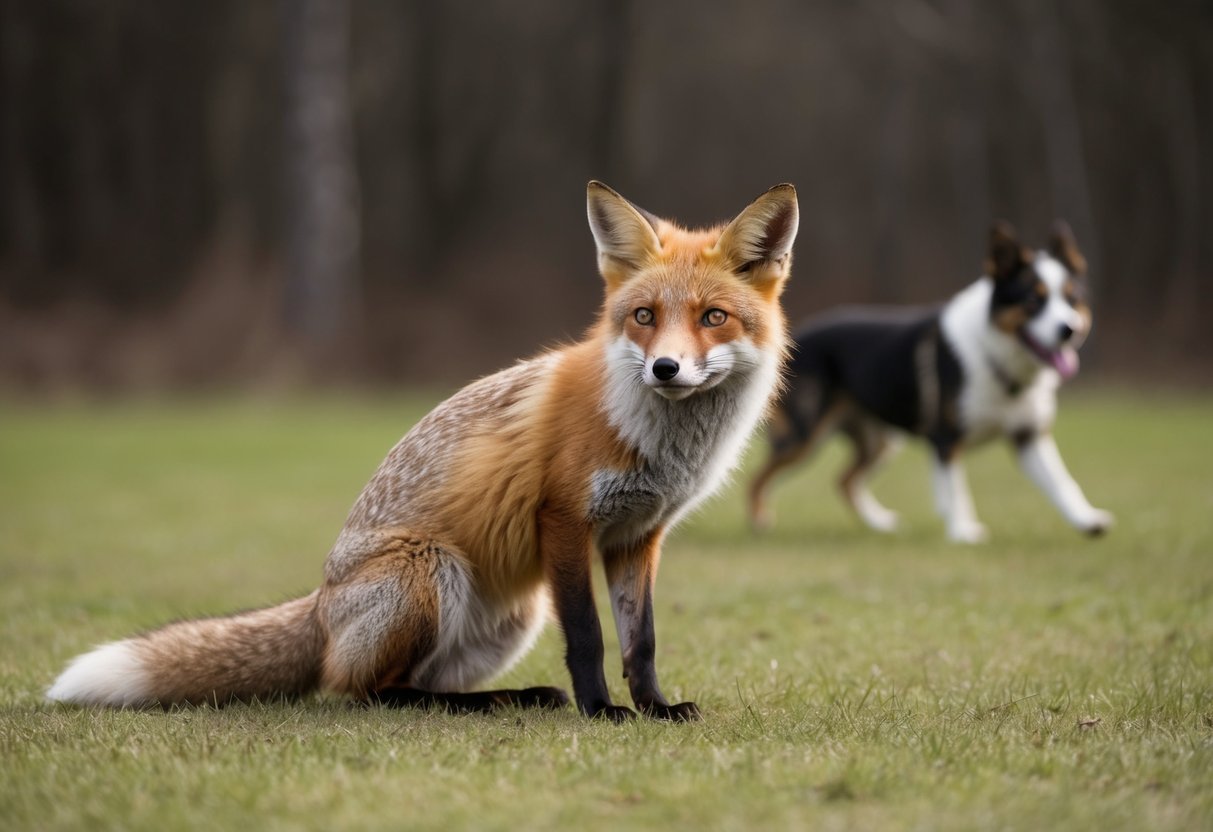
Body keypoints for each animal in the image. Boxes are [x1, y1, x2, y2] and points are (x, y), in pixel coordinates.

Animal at [47, 181, 799, 721]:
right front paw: (600, 712)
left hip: (514, 616)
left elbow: (640, 641)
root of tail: (321, 602)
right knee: (366, 690)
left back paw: (508, 700)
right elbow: (589, 637)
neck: (658, 439)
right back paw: (494, 705)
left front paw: (655, 709)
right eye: (644, 317)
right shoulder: (562, 520)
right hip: (430, 572)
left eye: (712, 318)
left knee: (419, 681)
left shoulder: (637, 536)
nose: (665, 369)